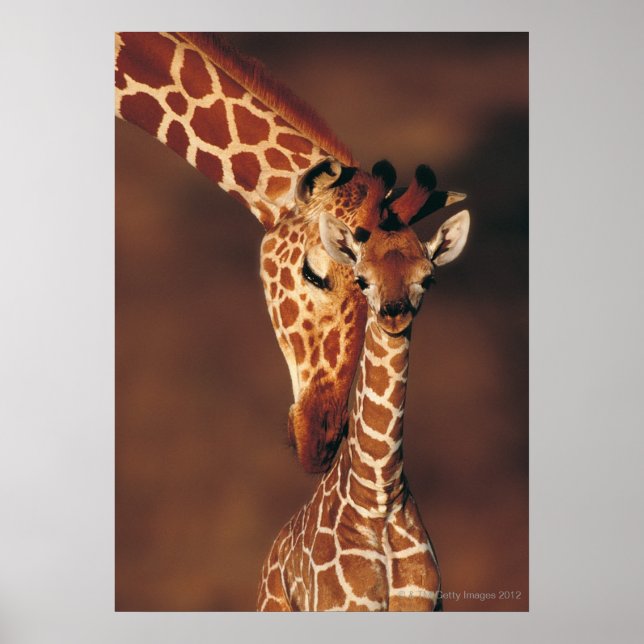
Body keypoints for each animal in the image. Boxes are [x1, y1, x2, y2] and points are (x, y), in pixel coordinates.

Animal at [257, 163, 470, 611]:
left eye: (428, 279)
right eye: (362, 279)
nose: (394, 313)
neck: (378, 496)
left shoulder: (428, 604)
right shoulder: (342, 607)